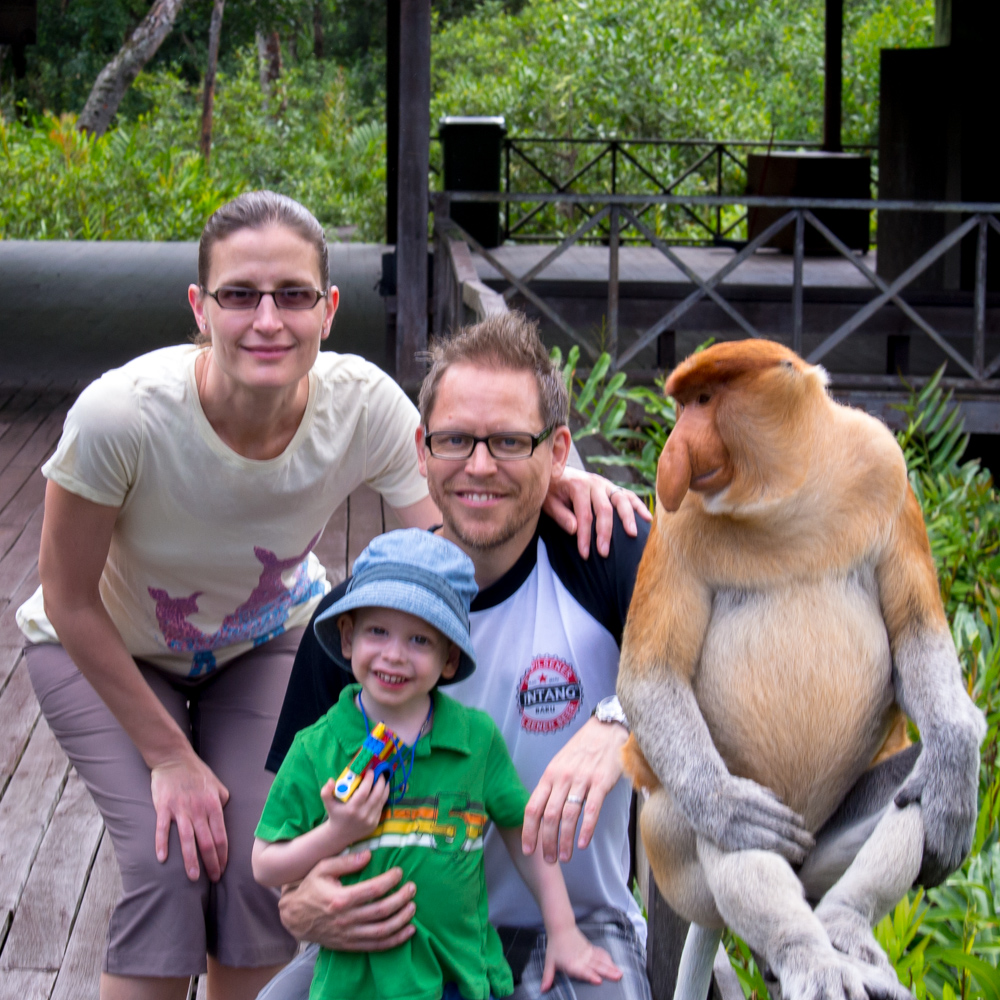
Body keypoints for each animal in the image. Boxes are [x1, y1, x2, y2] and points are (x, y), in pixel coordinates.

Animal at [616, 340, 984, 996]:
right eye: (682, 406)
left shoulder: (886, 470)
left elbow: (915, 633)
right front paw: (729, 807)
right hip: (671, 848)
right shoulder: (674, 522)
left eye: (703, 400)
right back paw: (805, 953)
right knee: (729, 832)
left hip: (821, 852)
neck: (785, 494)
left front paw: (958, 762)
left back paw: (848, 927)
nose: (674, 448)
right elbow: (651, 673)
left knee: (914, 786)